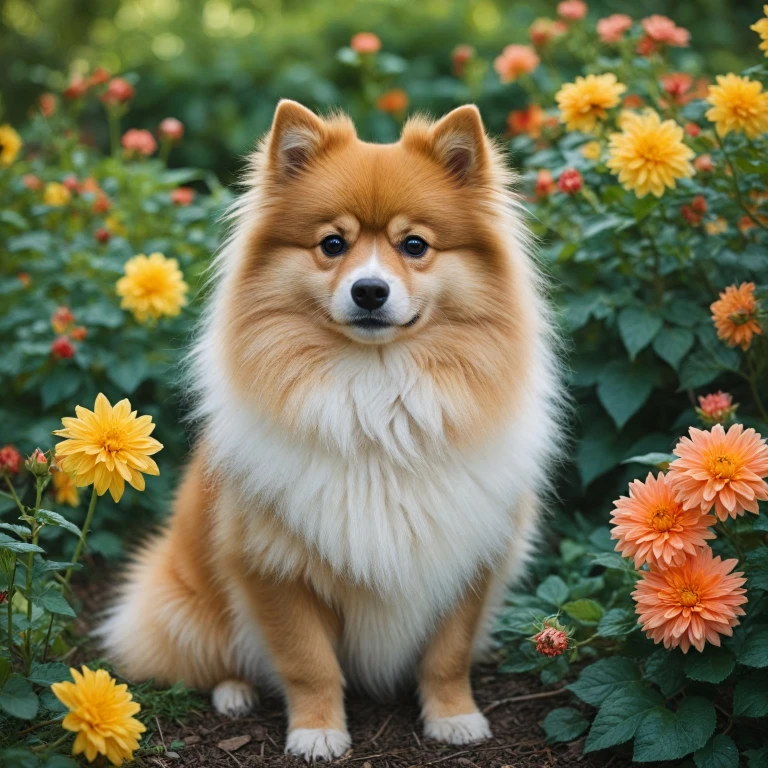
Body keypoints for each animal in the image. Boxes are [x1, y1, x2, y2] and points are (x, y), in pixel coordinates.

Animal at [99, 99, 560, 760]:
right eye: (332, 244)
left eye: (414, 245)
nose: (369, 289)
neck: (376, 397)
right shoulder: (273, 567)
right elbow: (307, 661)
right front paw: (317, 731)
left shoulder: (471, 557)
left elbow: (447, 656)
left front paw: (454, 718)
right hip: (183, 606)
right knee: (214, 662)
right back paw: (234, 693)